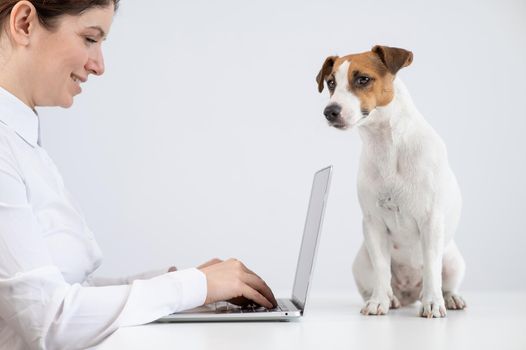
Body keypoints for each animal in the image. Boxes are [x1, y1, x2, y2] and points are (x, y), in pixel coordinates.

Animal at [318, 45, 466, 318]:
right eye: (331, 83)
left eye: (363, 79)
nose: (329, 111)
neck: (387, 145)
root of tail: (410, 292)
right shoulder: (373, 225)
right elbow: (381, 269)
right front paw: (379, 301)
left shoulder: (431, 221)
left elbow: (432, 268)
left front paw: (433, 303)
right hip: (361, 261)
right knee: (381, 280)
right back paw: (389, 297)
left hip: (452, 259)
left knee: (444, 281)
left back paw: (448, 298)